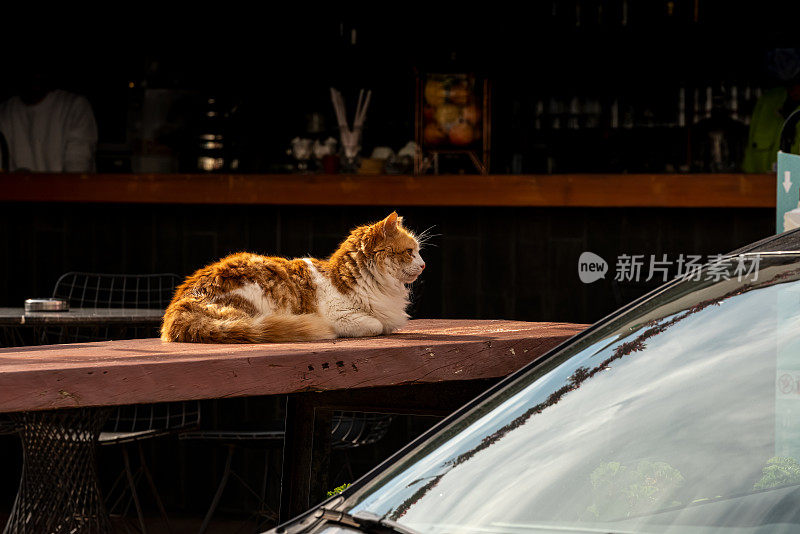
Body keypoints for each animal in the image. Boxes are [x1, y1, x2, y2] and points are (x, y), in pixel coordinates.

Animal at [161, 211, 424, 346]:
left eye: (418, 251)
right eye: (410, 251)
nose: (424, 264)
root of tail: (178, 307)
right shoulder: (342, 317)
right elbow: (377, 325)